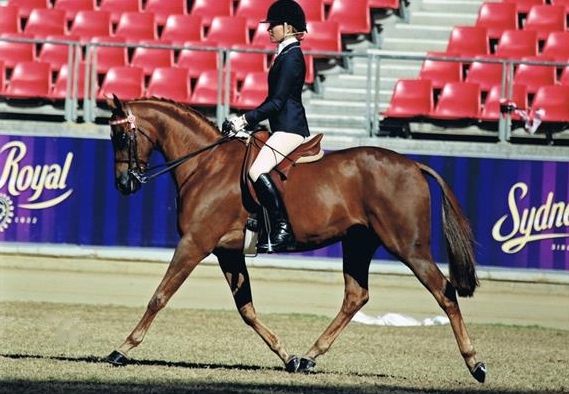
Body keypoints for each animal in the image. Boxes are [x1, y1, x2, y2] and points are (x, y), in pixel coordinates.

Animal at [105, 94, 484, 382]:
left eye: (121, 137)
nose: (124, 185)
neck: (206, 164)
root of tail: (412, 164)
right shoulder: (228, 252)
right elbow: (247, 310)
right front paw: (286, 356)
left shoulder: (195, 243)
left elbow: (159, 296)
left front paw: (121, 349)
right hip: (358, 243)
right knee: (355, 296)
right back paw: (308, 357)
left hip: (408, 246)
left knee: (444, 292)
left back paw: (475, 363)